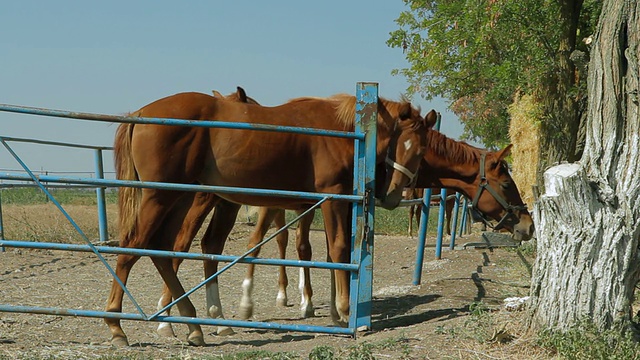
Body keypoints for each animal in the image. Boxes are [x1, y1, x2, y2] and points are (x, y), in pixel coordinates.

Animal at [110, 87, 430, 346]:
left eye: (421, 149)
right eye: (404, 144)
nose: (393, 195)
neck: (344, 128)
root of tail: (141, 114)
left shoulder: (328, 202)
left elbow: (329, 253)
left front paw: (337, 315)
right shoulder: (333, 197)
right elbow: (338, 250)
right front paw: (345, 310)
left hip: (180, 198)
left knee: (164, 250)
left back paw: (196, 324)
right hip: (160, 197)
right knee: (132, 247)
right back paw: (116, 326)